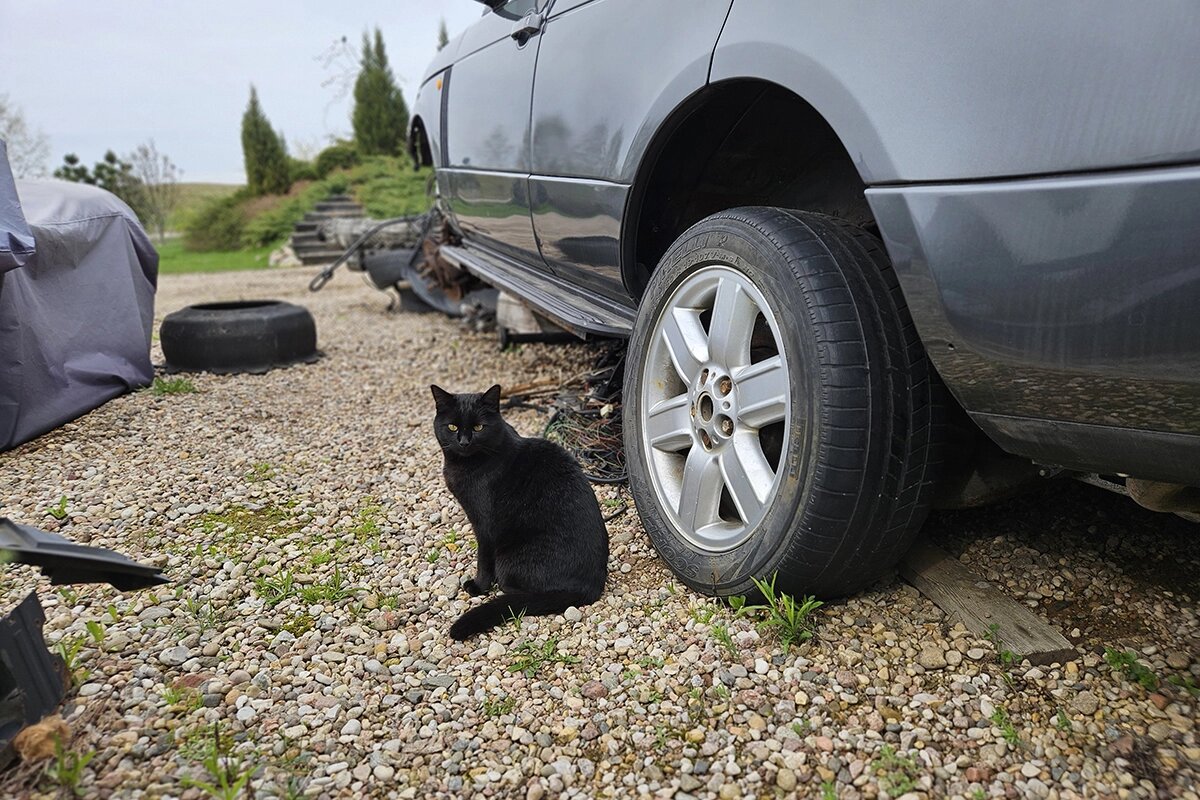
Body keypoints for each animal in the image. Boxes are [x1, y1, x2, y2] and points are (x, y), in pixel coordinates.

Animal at [432, 383, 609, 642]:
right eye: (452, 427)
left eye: (479, 427)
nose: (464, 442)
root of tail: (591, 586)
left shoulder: (484, 525)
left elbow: (483, 560)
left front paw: (479, 586)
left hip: (507, 560)